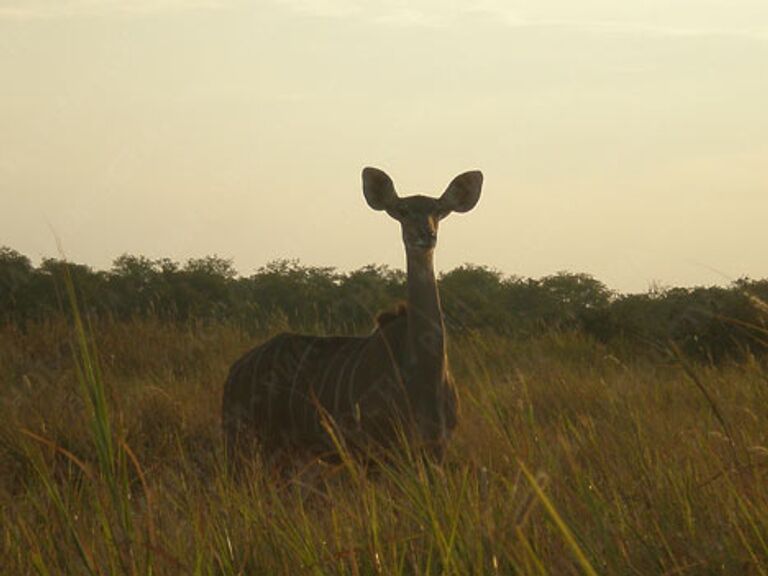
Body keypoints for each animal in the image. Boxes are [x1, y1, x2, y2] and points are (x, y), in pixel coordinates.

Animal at [222, 166, 484, 464]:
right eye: (403, 210)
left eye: (438, 210)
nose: (425, 235)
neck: (423, 375)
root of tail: (234, 371)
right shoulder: (376, 450)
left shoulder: (436, 447)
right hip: (240, 440)